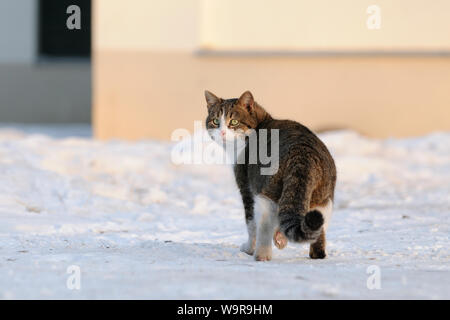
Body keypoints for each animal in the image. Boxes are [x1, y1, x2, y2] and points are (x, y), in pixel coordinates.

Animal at [206, 89, 336, 260]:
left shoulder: (246, 188)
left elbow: (251, 223)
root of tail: (301, 153)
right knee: (318, 224)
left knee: (265, 223)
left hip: (267, 193)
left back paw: (261, 255)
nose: (221, 132)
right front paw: (280, 238)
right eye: (215, 121)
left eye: (233, 122)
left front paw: (249, 248)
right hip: (323, 197)